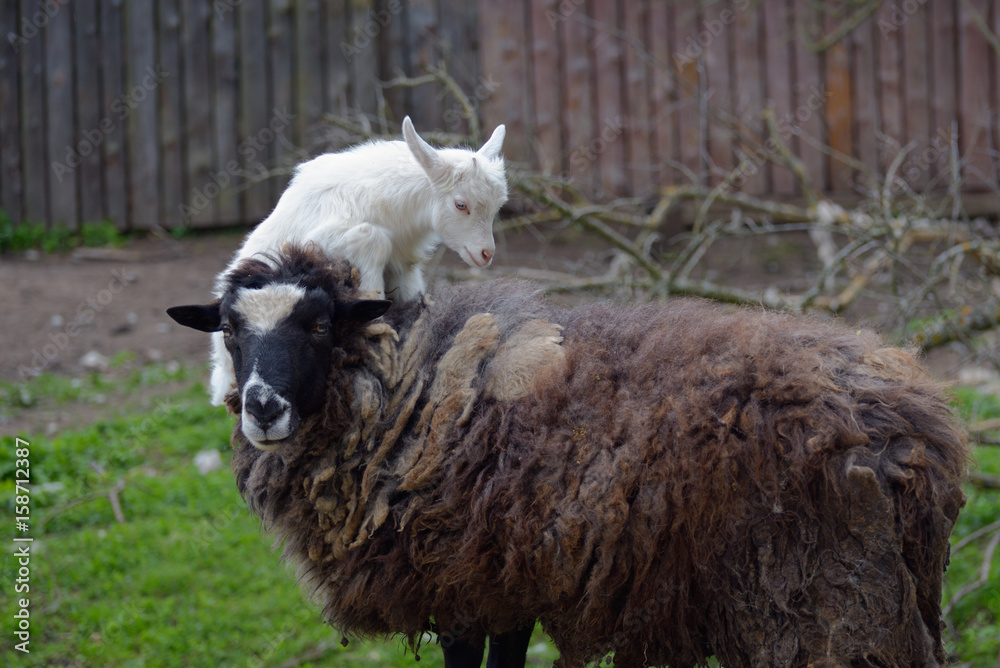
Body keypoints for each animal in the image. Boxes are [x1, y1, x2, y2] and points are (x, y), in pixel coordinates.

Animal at [168, 245, 969, 668]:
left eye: (320, 323)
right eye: (231, 330)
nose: (261, 407)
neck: (407, 393)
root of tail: (924, 426)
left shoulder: (460, 589)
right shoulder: (511, 583)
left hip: (826, 599)